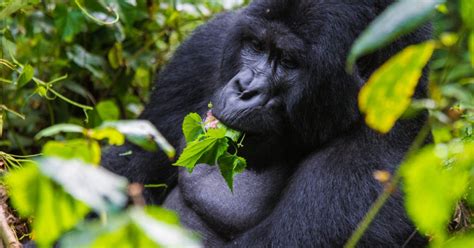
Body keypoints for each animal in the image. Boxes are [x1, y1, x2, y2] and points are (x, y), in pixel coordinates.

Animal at [102, 0, 432, 247]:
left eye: (287, 61)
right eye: (257, 46)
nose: (244, 89)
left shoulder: (380, 155)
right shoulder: (204, 50)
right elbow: (131, 159)